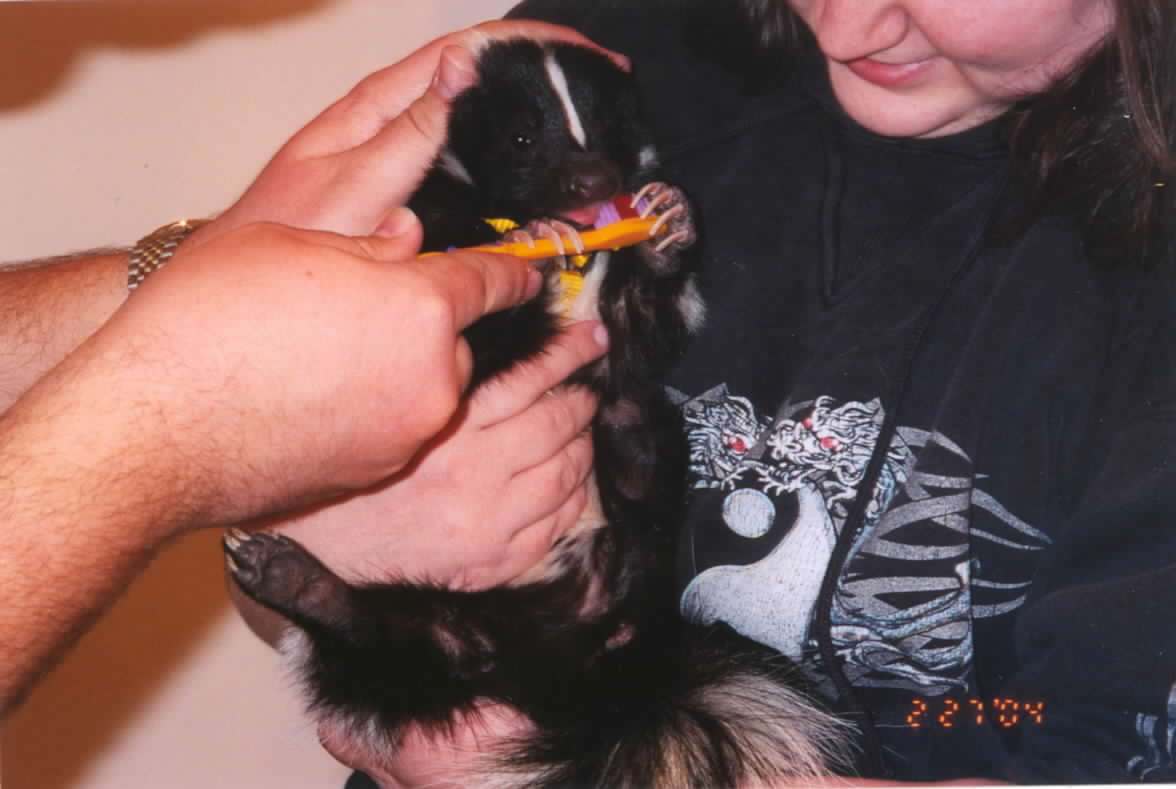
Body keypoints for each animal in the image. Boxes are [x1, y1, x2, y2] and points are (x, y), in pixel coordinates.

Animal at [222, 39, 856, 785]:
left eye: (606, 127)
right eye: (523, 138)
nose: (590, 179)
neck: (582, 268)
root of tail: (577, 649)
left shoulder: (614, 346)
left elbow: (641, 336)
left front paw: (668, 223)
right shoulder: (425, 251)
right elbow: (472, 323)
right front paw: (538, 235)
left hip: (634, 474)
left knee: (634, 435)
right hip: (445, 634)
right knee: (399, 639)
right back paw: (288, 575)